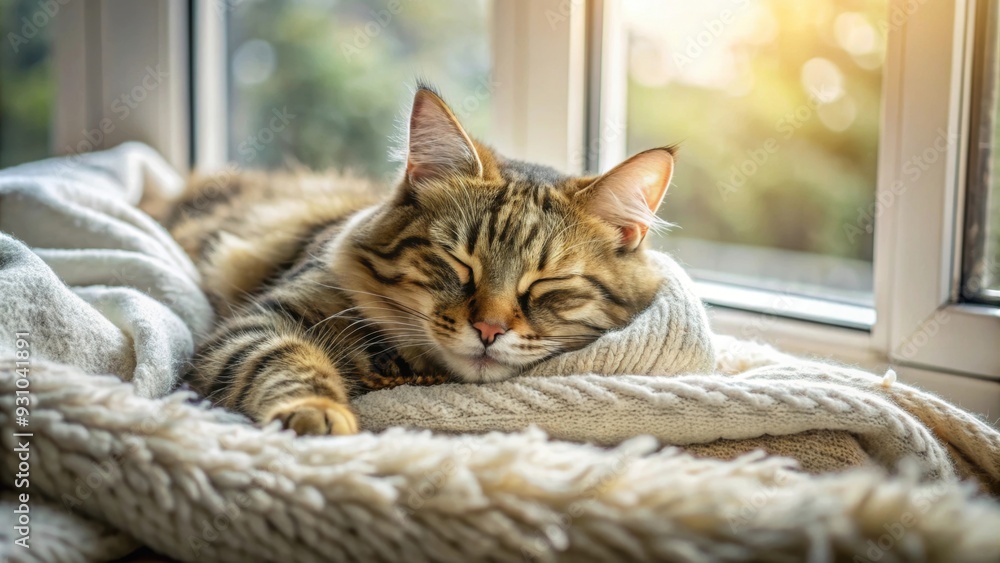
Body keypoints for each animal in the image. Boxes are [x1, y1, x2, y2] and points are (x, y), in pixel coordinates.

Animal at [168, 85, 676, 436]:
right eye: (459, 262)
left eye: (547, 283)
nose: (489, 330)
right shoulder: (260, 321)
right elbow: (287, 360)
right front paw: (318, 412)